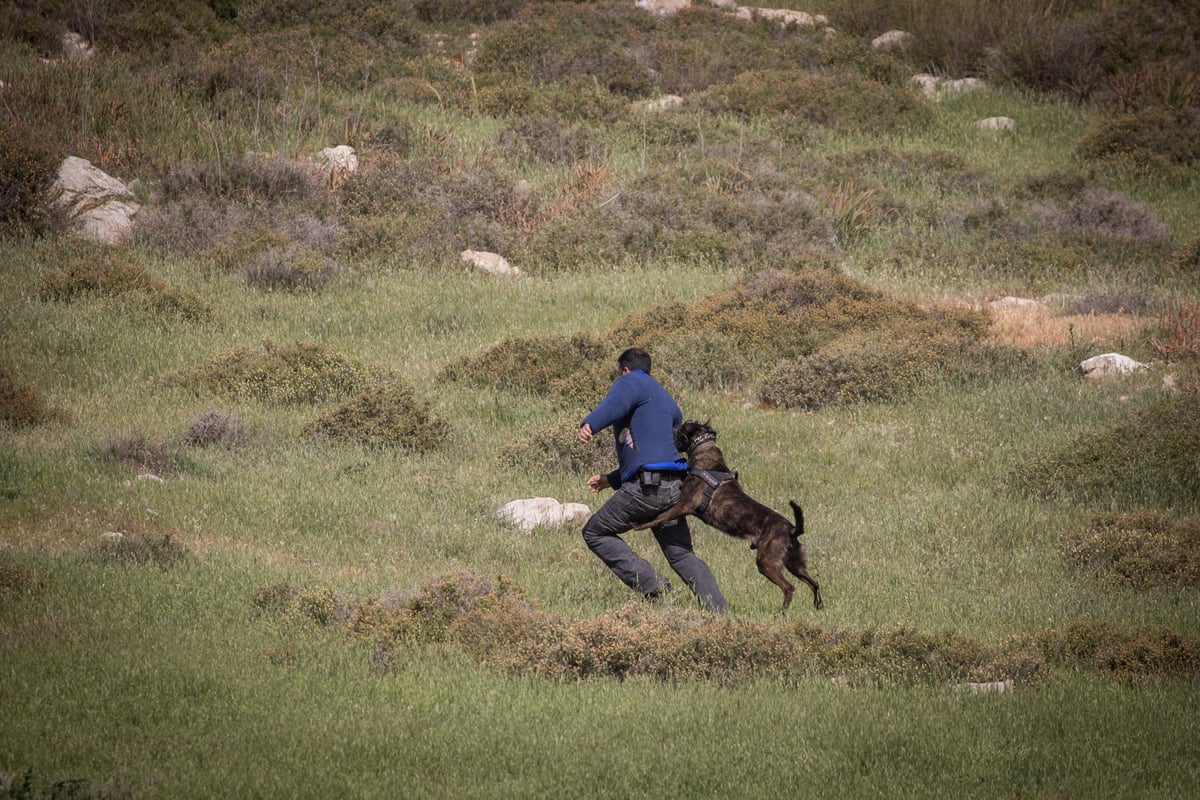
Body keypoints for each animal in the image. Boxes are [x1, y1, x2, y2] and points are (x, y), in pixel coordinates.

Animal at [633, 419, 820, 614]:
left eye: (682, 427)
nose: (670, 429)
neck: (707, 455)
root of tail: (792, 529)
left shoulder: (684, 504)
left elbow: (660, 516)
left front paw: (639, 524)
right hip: (794, 563)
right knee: (815, 583)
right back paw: (818, 605)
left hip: (767, 562)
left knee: (789, 587)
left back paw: (781, 612)